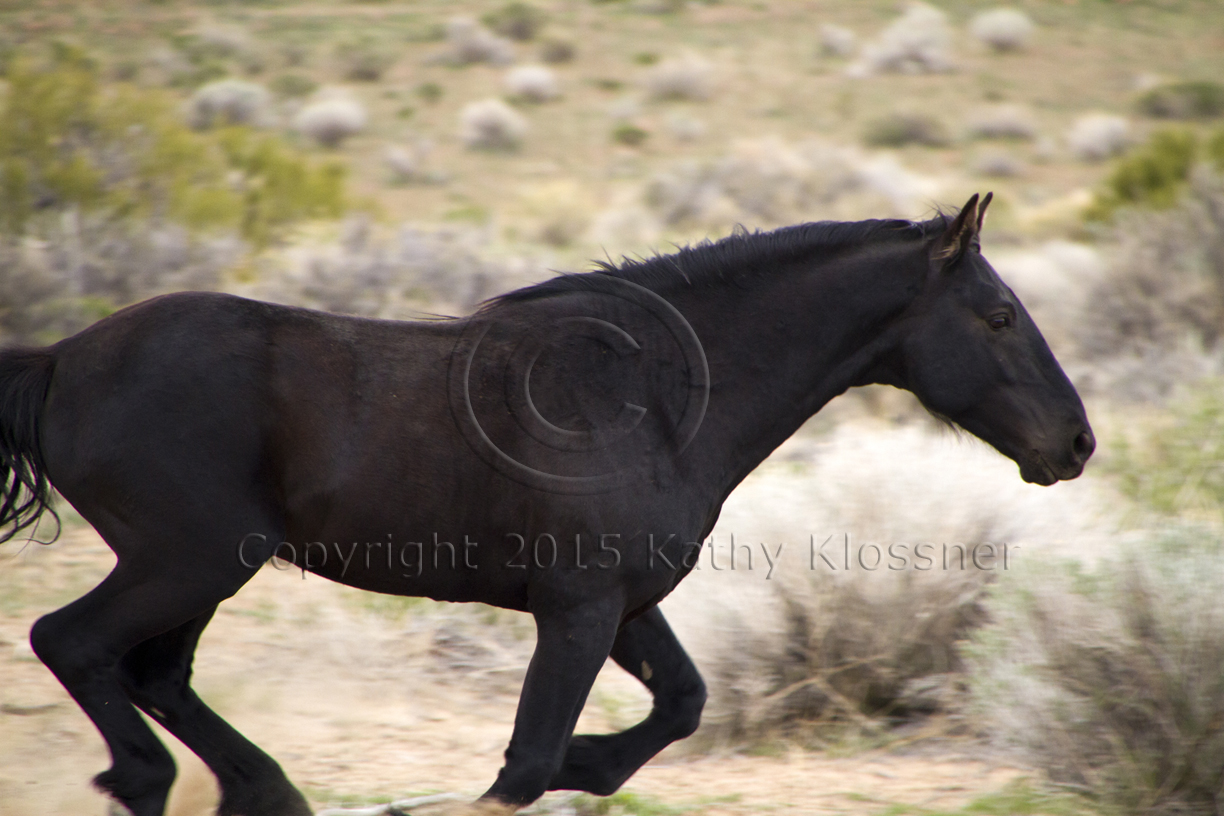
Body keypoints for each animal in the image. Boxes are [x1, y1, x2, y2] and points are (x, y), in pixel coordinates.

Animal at [0, 194, 1091, 812]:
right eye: (1000, 316)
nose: (1075, 444)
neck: (653, 393)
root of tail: (61, 361)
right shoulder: (576, 609)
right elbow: (522, 769)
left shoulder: (624, 605)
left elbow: (677, 707)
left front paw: (590, 763)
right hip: (187, 560)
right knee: (76, 644)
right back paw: (154, 780)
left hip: (204, 572)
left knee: (155, 676)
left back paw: (257, 791)